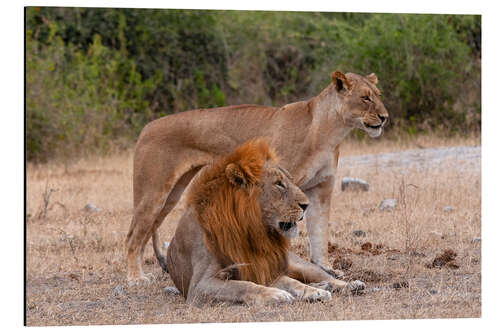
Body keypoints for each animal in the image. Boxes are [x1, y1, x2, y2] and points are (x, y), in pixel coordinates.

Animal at [127, 69, 388, 282]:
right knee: (132, 236)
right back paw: (136, 279)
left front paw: (327, 268)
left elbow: (319, 232)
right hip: (153, 192)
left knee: (146, 232)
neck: (329, 132)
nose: (385, 117)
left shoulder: (322, 189)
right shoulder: (283, 187)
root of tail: (146, 127)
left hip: (172, 194)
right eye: (365, 98)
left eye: (378, 95)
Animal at [167, 139, 364, 304]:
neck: (249, 230)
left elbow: (290, 282)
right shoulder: (199, 286)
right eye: (279, 184)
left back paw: (347, 286)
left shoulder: (265, 269)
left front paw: (307, 292)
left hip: (298, 265)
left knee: (324, 276)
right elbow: (241, 285)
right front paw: (276, 294)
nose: (307, 205)